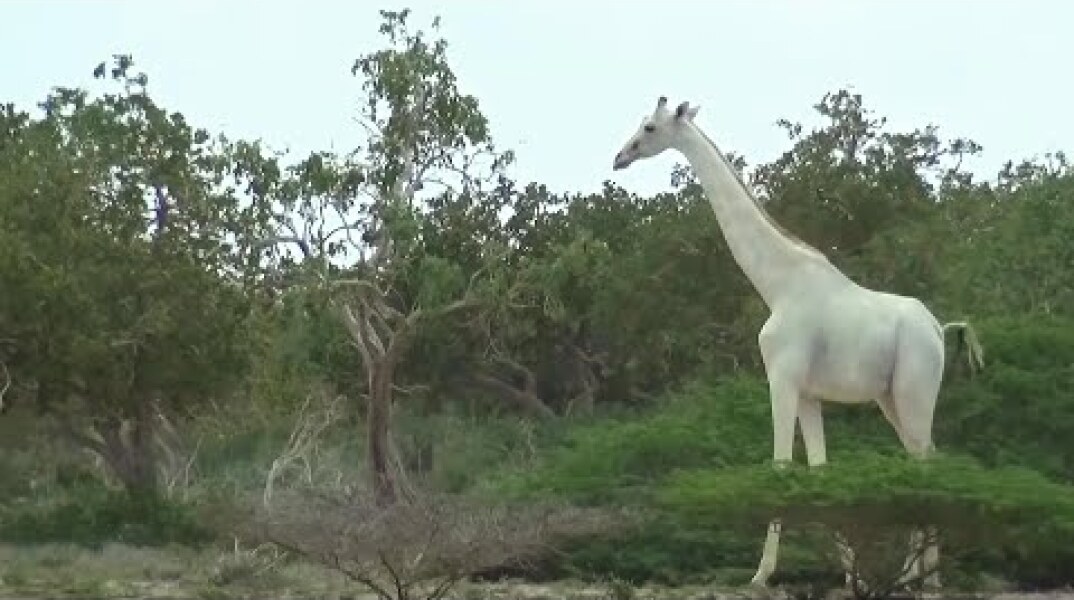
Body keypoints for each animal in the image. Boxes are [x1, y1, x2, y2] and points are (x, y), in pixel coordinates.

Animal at [611, 96, 984, 590]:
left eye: (650, 128)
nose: (620, 156)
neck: (777, 284)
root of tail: (940, 329)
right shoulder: (809, 393)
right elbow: (819, 469)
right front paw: (850, 575)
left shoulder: (782, 379)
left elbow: (781, 465)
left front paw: (760, 575)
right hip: (890, 398)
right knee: (924, 459)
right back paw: (918, 577)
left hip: (914, 391)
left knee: (925, 462)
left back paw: (920, 579)